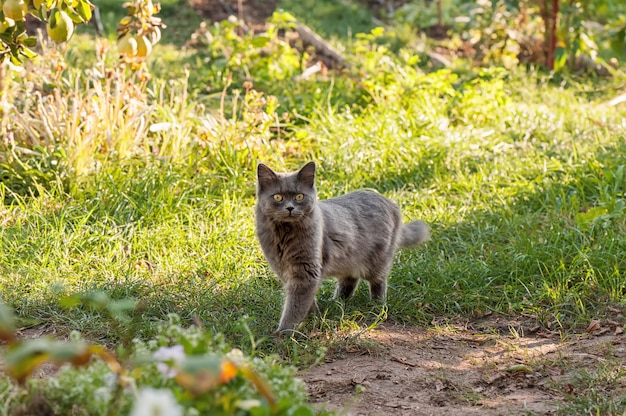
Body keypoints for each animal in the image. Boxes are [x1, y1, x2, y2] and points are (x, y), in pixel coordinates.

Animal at [255, 161, 428, 334]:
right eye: (278, 197)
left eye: (299, 196)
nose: (290, 208)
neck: (284, 234)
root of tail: (391, 203)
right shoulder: (284, 269)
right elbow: (305, 300)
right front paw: (314, 316)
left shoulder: (305, 271)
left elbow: (295, 305)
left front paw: (285, 331)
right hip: (349, 257)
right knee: (350, 280)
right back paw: (336, 302)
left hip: (378, 259)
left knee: (378, 282)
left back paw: (377, 306)